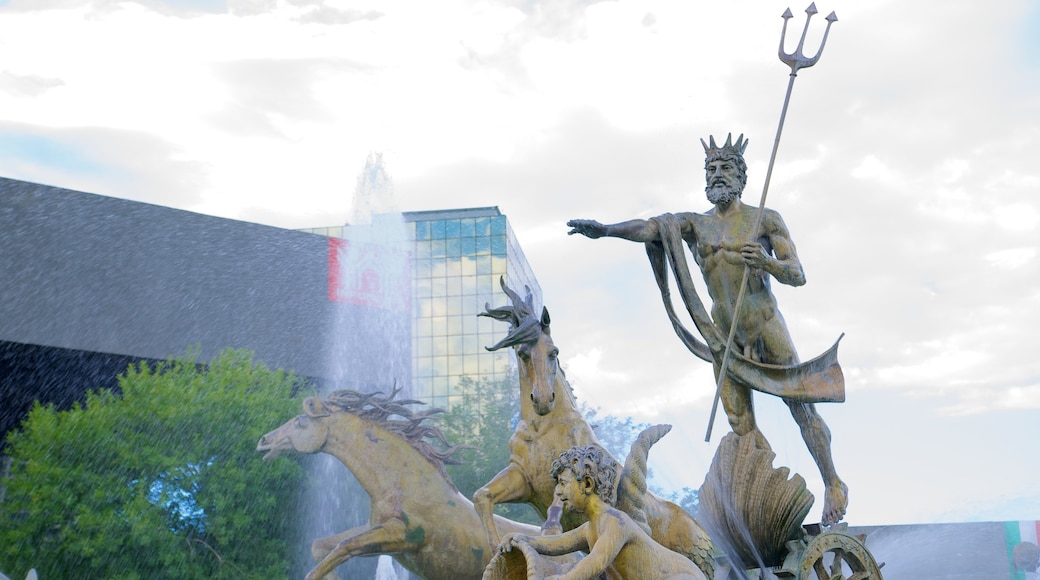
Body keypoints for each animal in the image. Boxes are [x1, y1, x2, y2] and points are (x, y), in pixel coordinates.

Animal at [472, 280, 715, 577]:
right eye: (522, 353)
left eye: (554, 352)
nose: (543, 400)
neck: (542, 428)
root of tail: (702, 532)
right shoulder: (522, 478)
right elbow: (482, 496)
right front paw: (499, 550)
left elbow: (553, 515)